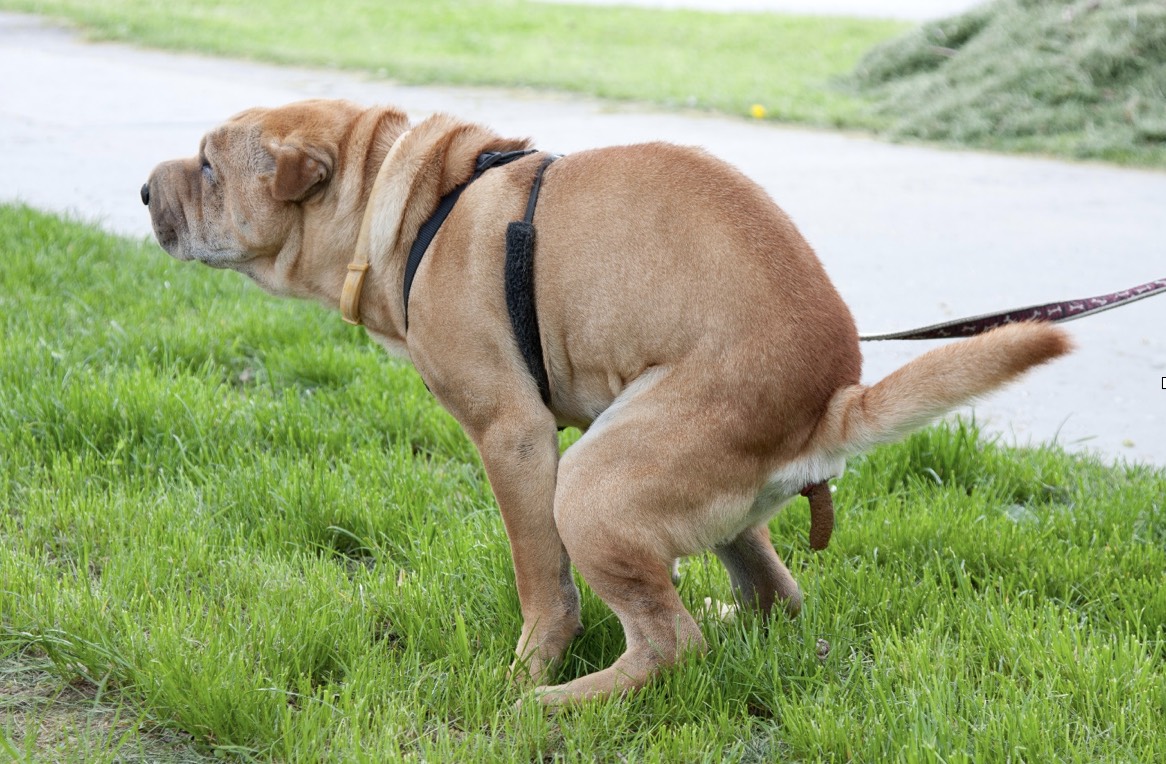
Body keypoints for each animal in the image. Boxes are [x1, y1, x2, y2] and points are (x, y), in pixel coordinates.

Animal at [141, 100, 1068, 704]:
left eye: (211, 166)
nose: (146, 191)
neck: (408, 205)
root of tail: (831, 403)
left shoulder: (514, 437)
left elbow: (541, 582)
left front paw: (531, 666)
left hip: (590, 483)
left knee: (669, 641)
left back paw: (560, 703)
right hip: (696, 500)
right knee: (773, 595)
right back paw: (723, 622)